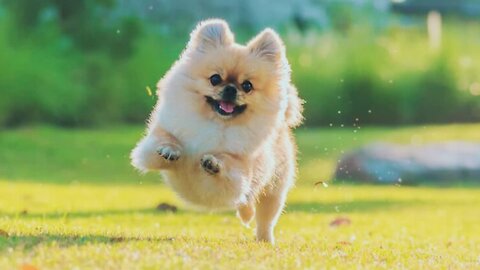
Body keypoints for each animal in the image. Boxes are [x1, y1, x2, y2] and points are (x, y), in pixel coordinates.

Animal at [130, 18, 304, 243]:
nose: (230, 89)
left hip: (273, 190)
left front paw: (214, 162)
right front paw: (170, 149)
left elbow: (229, 163)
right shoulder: (153, 146)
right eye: (215, 79)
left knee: (264, 218)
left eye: (247, 86)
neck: (216, 123)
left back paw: (264, 239)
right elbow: (164, 140)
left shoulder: (240, 175)